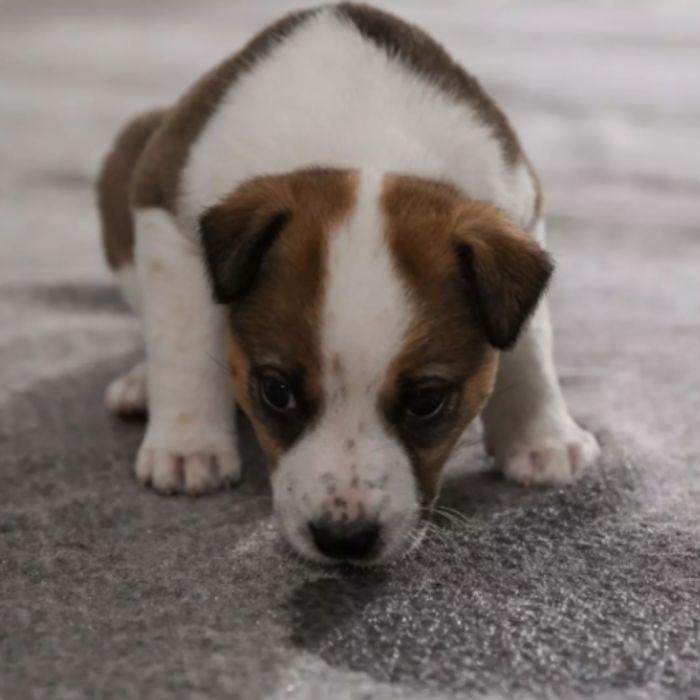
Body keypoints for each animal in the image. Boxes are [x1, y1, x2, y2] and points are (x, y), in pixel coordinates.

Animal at [97, 4, 600, 564]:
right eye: (276, 392)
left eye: (427, 401)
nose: (344, 539)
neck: (364, 144)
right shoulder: (166, 214)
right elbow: (183, 345)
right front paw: (189, 446)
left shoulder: (520, 212)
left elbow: (529, 346)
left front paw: (540, 436)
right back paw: (143, 383)